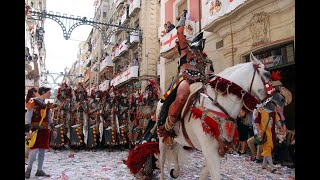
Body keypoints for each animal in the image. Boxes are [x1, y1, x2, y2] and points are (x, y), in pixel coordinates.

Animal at [156, 53, 288, 180]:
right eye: (267, 74)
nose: (281, 99)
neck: (218, 105)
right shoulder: (209, 149)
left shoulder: (217, 149)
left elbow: (205, 174)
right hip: (161, 139)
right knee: (162, 161)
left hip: (178, 138)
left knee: (174, 150)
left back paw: (176, 171)